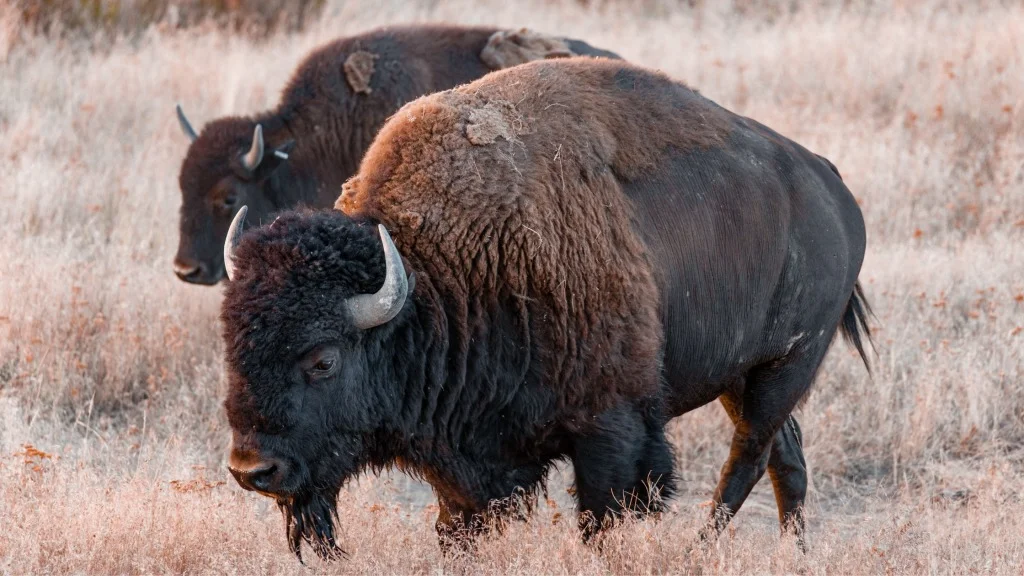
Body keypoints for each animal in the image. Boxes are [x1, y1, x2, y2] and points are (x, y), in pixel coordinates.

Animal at [219, 58, 872, 560]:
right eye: (232, 346)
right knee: (786, 458)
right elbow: (458, 526)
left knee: (748, 458)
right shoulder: (467, 464)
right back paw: (794, 553)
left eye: (323, 360)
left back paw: (701, 549)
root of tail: (832, 185)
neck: (440, 275)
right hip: (743, 375)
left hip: (785, 366)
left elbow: (604, 519)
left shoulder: (613, 430)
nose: (253, 470)